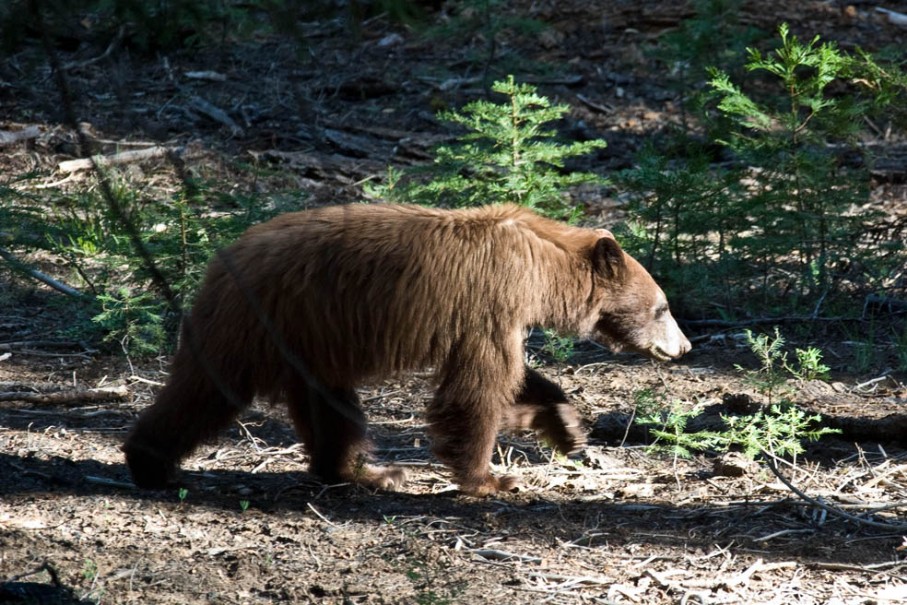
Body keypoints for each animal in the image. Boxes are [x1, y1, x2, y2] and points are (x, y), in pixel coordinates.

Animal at [124, 201, 692, 494]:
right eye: (663, 307)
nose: (684, 346)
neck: (540, 268)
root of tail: (221, 260)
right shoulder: (490, 301)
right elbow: (478, 386)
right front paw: (490, 478)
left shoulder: (499, 314)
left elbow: (519, 376)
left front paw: (565, 426)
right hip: (260, 322)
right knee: (205, 390)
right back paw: (147, 462)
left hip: (308, 341)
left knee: (330, 408)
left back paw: (362, 471)